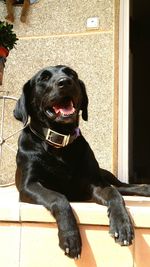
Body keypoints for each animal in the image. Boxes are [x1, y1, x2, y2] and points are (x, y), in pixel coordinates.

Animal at [13, 66, 150, 260]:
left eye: (71, 73)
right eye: (43, 78)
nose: (65, 82)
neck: (59, 143)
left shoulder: (95, 184)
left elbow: (114, 194)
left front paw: (122, 225)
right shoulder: (29, 185)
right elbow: (59, 198)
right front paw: (70, 238)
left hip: (106, 176)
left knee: (122, 187)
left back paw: (146, 188)